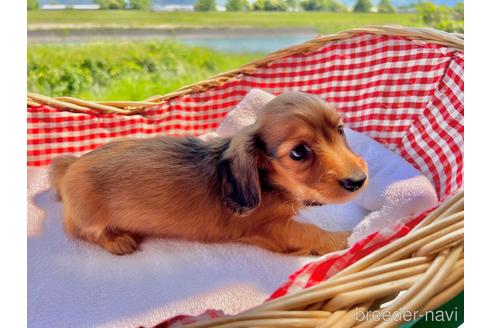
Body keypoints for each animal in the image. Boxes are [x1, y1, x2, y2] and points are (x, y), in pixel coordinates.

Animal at [50, 92, 368, 256]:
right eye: (299, 152)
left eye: (340, 130)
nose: (359, 181)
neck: (267, 182)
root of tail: (70, 168)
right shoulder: (270, 228)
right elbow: (309, 231)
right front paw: (346, 239)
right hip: (89, 217)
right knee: (83, 231)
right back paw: (117, 240)